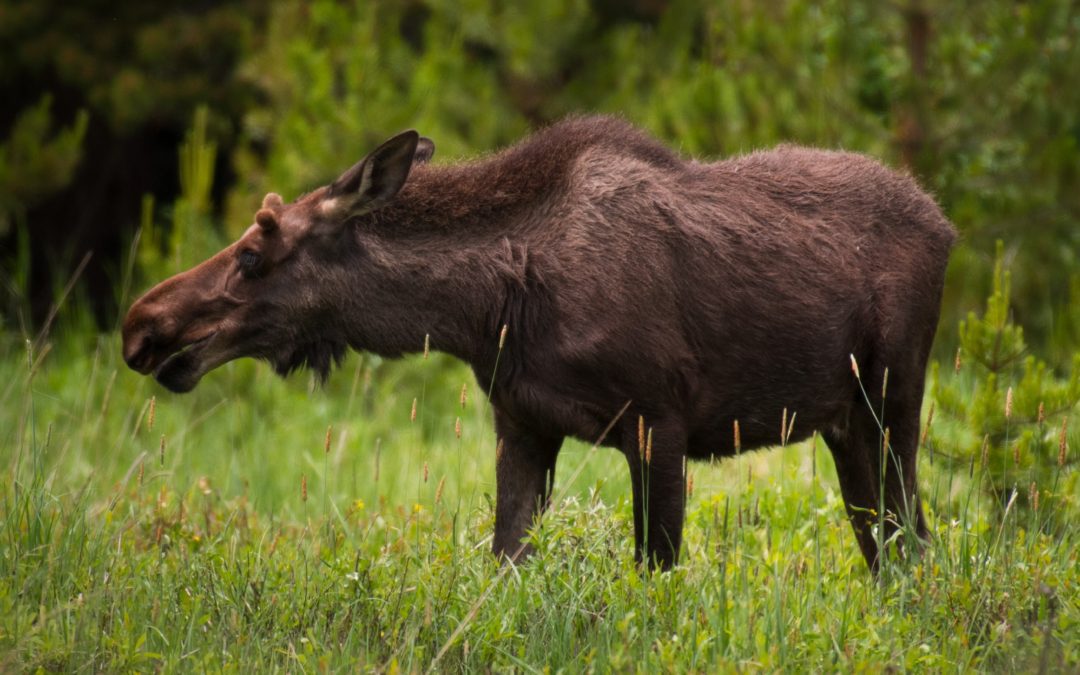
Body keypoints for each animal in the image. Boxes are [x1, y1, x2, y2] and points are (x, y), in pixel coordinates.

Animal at [124, 115, 954, 570]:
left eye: (253, 253)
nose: (143, 326)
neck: (488, 307)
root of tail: (946, 224)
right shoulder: (521, 422)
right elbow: (506, 560)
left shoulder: (659, 421)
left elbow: (655, 570)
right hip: (845, 421)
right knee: (886, 544)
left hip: (894, 398)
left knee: (912, 538)